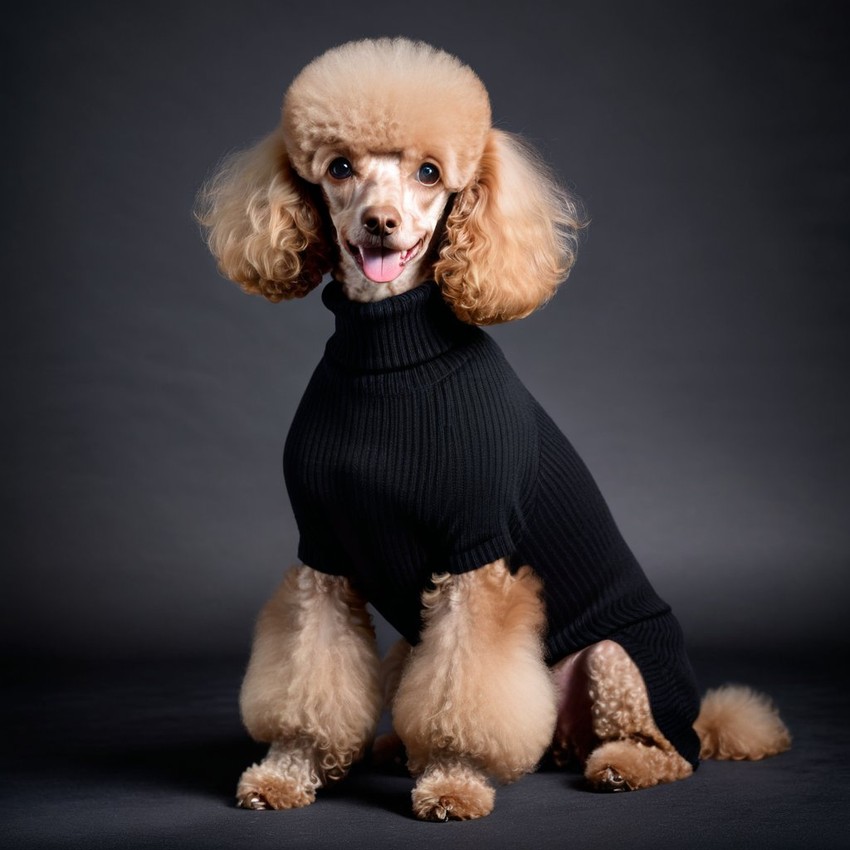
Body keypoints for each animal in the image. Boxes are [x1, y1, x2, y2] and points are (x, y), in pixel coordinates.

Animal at [194, 36, 788, 820]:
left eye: (429, 173)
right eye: (340, 168)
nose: (379, 221)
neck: (389, 350)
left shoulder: (476, 558)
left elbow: (466, 690)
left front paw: (453, 778)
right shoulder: (324, 555)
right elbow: (308, 676)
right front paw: (288, 770)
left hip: (616, 659)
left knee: (664, 747)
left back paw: (622, 764)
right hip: (416, 644)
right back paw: (400, 748)